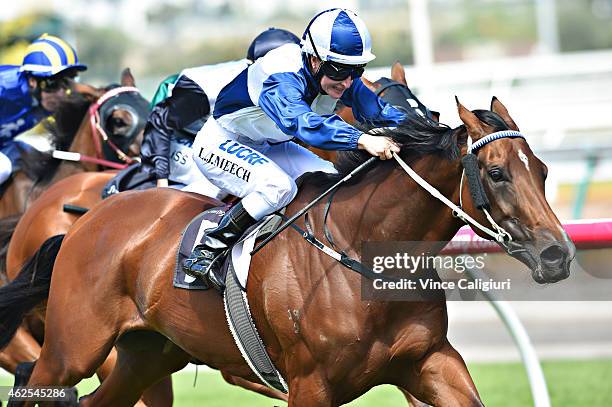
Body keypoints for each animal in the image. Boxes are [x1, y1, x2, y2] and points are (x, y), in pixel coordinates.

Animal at [0, 95, 572, 404]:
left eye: (543, 170)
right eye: (496, 173)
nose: (558, 256)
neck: (358, 256)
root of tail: (84, 221)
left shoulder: (428, 361)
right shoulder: (308, 386)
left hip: (147, 355)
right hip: (72, 348)